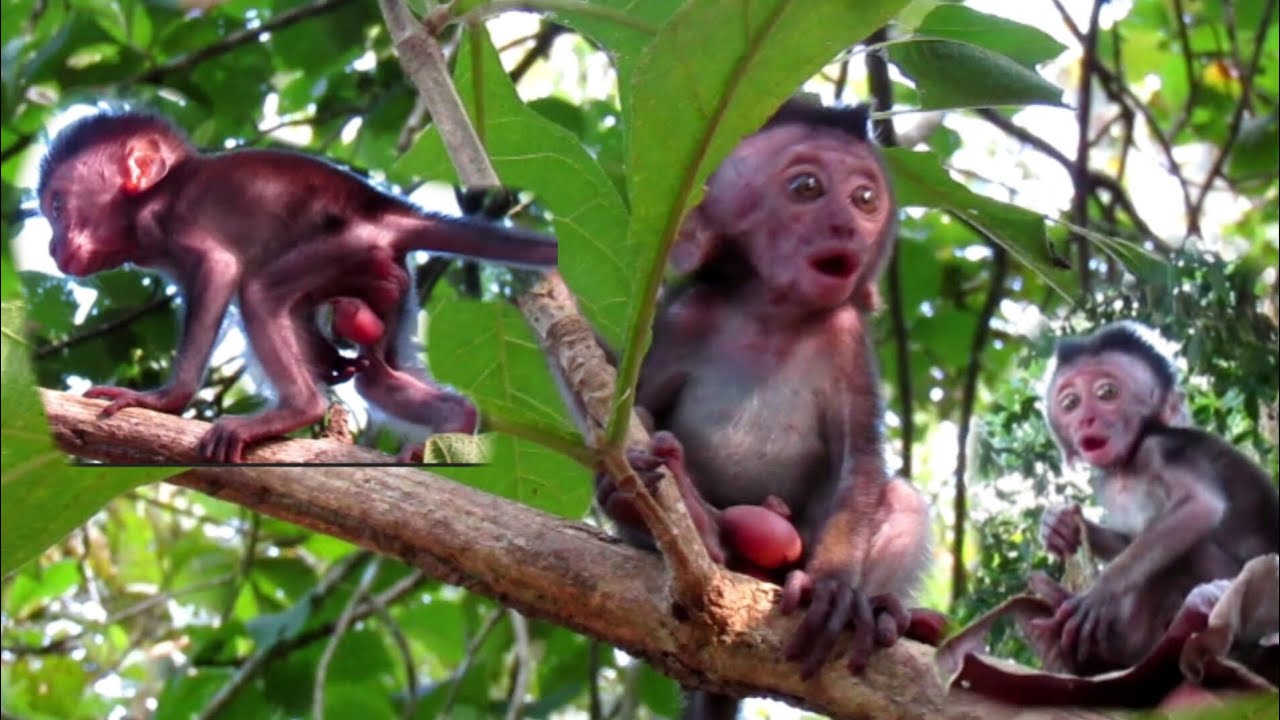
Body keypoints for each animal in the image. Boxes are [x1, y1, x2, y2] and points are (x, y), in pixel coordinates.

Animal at [37, 111, 557, 463]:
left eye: (58, 206)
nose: (51, 244)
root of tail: (386, 210)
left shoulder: (165, 222)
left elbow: (221, 269)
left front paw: (165, 400)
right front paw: (328, 360)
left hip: (347, 244)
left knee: (259, 292)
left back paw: (297, 410)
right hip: (391, 279)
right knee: (378, 374)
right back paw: (455, 421)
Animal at [595, 100, 931, 718]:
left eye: (865, 198)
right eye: (807, 188)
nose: (847, 226)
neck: (773, 314)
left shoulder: (846, 337)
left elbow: (861, 462)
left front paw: (834, 587)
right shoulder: (688, 318)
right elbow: (634, 410)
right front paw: (622, 480)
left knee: (898, 499)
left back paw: (877, 608)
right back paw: (693, 520)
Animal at [1031, 321, 1279, 676]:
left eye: (1107, 394)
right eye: (1071, 403)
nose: (1085, 420)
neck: (1127, 466)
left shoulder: (1162, 450)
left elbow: (1199, 507)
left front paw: (1101, 591)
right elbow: (1128, 539)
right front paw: (1058, 526)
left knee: (1184, 552)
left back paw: (1119, 649)